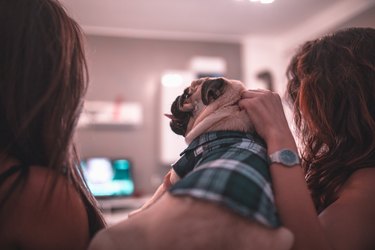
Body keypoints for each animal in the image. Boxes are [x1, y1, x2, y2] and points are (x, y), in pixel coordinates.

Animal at [89, 76, 296, 250]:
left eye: (187, 94)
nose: (177, 97)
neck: (226, 115)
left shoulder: (172, 176)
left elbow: (150, 200)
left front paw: (136, 211)